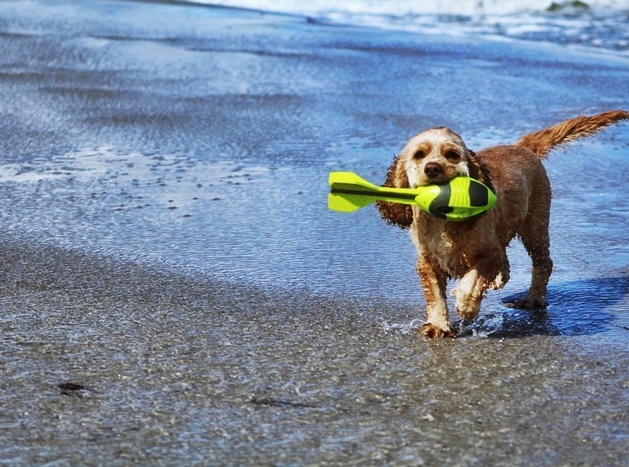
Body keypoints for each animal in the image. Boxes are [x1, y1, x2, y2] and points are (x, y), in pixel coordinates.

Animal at [378, 110, 628, 336]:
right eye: (419, 154)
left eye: (452, 154)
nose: (432, 168)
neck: (444, 221)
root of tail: (522, 146)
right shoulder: (427, 262)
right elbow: (435, 295)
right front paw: (439, 325)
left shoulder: (490, 254)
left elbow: (473, 278)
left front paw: (466, 305)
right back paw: (500, 280)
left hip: (535, 227)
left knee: (543, 263)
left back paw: (532, 299)